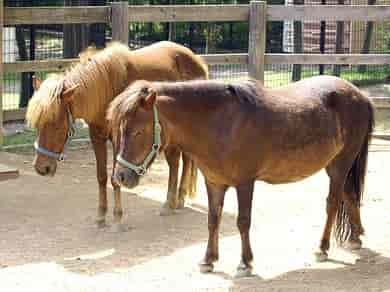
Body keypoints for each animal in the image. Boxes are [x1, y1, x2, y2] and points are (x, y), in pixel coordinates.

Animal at [25, 41, 209, 230]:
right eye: (37, 124)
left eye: (56, 125)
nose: (41, 168)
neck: (106, 88)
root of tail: (195, 59)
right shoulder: (96, 137)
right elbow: (101, 177)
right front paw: (101, 215)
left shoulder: (118, 140)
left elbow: (115, 179)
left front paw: (118, 217)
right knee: (177, 162)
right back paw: (174, 201)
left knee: (179, 162)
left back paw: (174, 201)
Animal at [107, 76, 374, 276]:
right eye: (120, 128)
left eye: (138, 131)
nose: (120, 176)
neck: (221, 123)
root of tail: (360, 96)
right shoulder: (214, 182)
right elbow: (213, 220)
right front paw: (208, 260)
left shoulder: (245, 183)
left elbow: (243, 221)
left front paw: (245, 263)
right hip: (336, 165)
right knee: (350, 196)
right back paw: (355, 237)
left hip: (340, 165)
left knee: (333, 203)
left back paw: (322, 248)